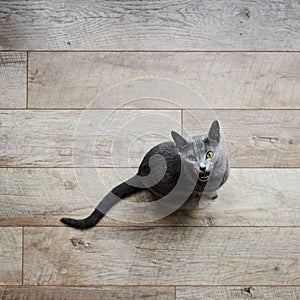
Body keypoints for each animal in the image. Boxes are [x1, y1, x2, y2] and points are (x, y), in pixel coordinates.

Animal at [61, 120, 230, 229]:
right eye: (192, 158)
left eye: (209, 154)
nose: (202, 167)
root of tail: (140, 172)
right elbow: (203, 192)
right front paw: (211, 194)